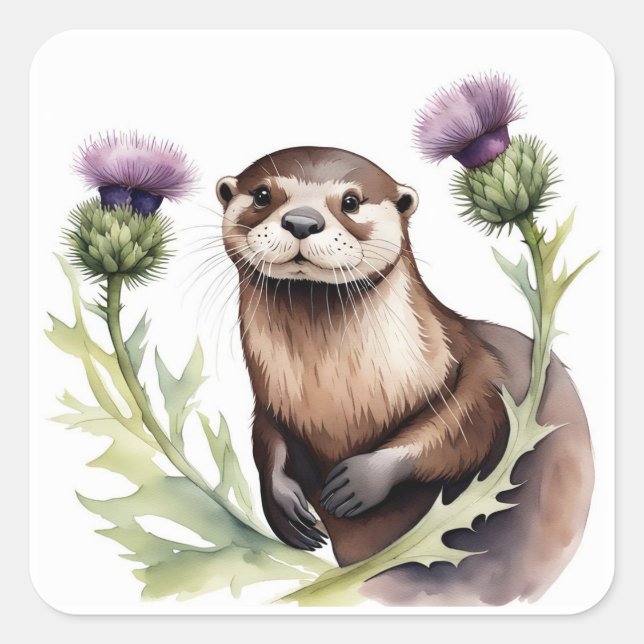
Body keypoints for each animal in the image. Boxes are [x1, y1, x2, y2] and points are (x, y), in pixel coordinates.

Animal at [216, 147, 593, 602]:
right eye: (262, 194)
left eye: (350, 202)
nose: (302, 221)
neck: (336, 403)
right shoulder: (268, 404)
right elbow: (266, 439)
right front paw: (283, 502)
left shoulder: (476, 361)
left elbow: (469, 421)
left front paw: (361, 480)